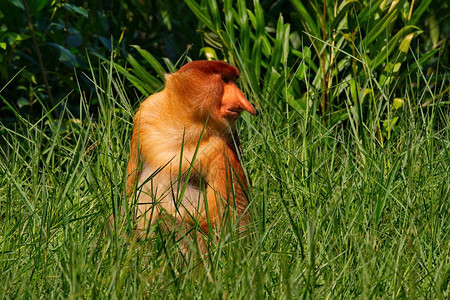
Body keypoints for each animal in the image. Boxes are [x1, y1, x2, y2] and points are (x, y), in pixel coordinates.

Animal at [126, 59, 255, 245]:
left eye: (233, 81)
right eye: (225, 80)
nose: (243, 102)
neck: (184, 127)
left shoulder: (222, 150)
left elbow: (234, 226)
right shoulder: (145, 113)